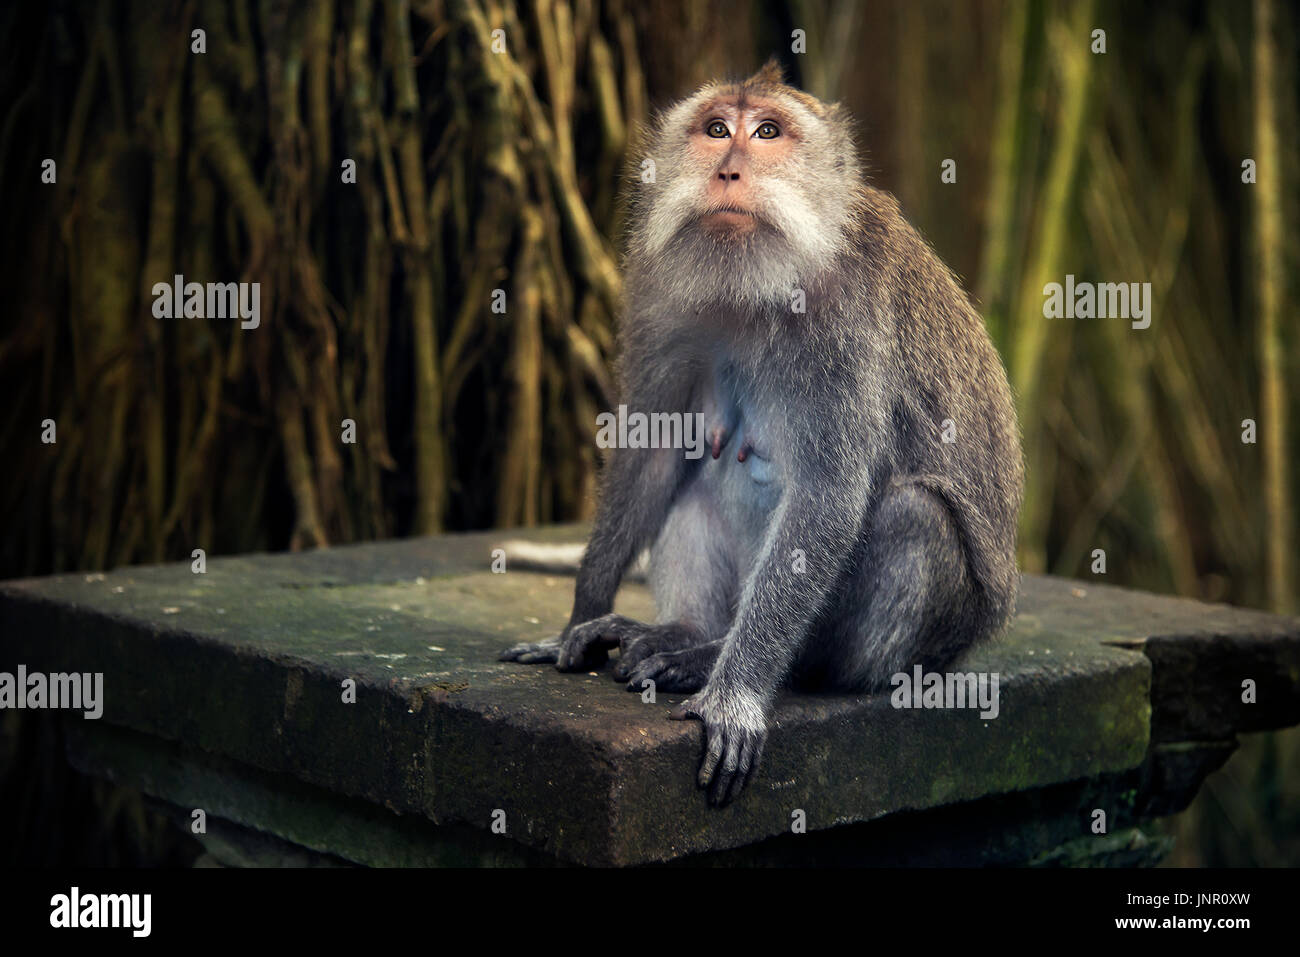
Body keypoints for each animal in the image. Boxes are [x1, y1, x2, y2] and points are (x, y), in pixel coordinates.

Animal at [501, 61, 1019, 806]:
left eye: (768, 132)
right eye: (717, 129)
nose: (729, 170)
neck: (756, 282)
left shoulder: (847, 317)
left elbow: (827, 496)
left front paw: (736, 696)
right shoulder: (657, 287)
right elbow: (653, 453)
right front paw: (578, 619)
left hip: (934, 643)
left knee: (915, 514)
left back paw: (732, 662)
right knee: (696, 476)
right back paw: (684, 633)